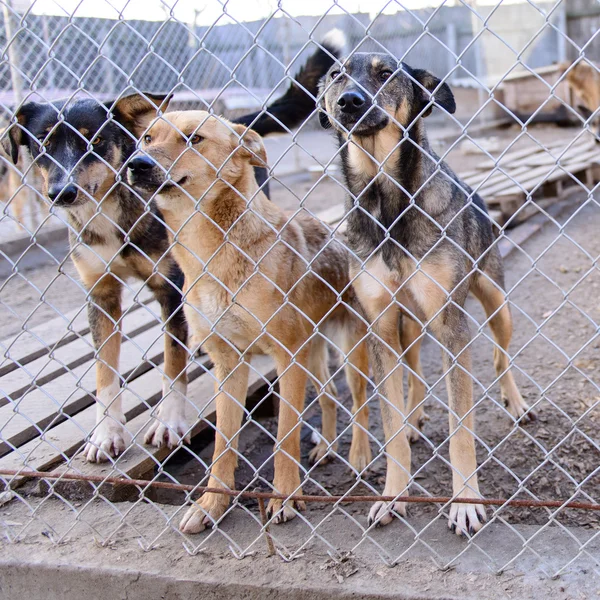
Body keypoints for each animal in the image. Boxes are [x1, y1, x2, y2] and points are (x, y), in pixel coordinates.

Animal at [4, 31, 344, 464]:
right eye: (42, 144)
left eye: (96, 141)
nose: (63, 193)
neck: (115, 212)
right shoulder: (101, 293)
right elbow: (104, 370)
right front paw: (105, 433)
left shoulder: (172, 287)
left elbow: (172, 364)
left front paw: (168, 421)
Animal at [316, 54, 532, 536]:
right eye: (337, 74)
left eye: (385, 73)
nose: (348, 102)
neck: (386, 202)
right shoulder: (379, 326)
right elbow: (391, 426)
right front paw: (393, 494)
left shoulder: (452, 326)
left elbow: (461, 431)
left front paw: (465, 502)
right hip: (407, 326)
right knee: (413, 374)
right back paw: (415, 416)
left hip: (496, 303)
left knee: (500, 356)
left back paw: (516, 402)